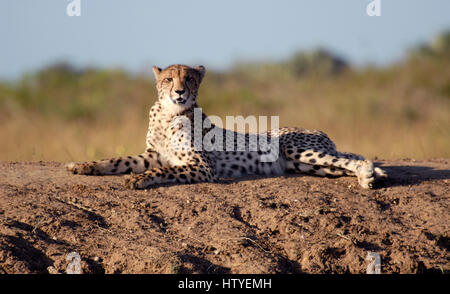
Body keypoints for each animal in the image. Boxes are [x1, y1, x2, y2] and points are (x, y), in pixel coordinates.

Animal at [67, 63, 386, 188]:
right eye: (169, 79)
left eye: (189, 79)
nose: (179, 92)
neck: (169, 114)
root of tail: (319, 131)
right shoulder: (151, 154)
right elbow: (117, 160)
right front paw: (83, 165)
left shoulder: (200, 166)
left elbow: (163, 171)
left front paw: (140, 179)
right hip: (306, 165)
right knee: (344, 160)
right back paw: (374, 173)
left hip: (295, 148)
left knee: (351, 160)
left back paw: (367, 177)